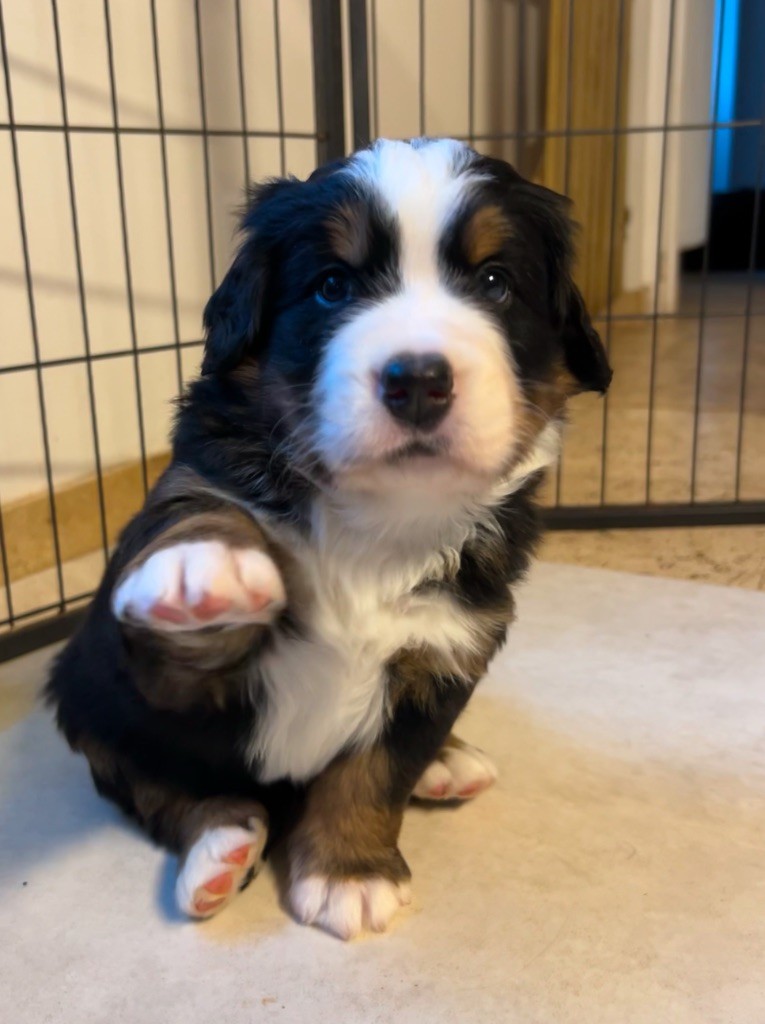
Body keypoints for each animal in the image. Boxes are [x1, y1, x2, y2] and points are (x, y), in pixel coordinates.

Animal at [46, 140, 610, 937]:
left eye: (495, 282)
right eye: (333, 286)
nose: (417, 379)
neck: (381, 521)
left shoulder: (450, 650)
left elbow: (375, 773)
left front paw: (350, 873)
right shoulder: (161, 674)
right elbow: (201, 515)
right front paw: (206, 569)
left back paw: (450, 763)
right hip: (85, 700)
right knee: (159, 790)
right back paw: (221, 848)